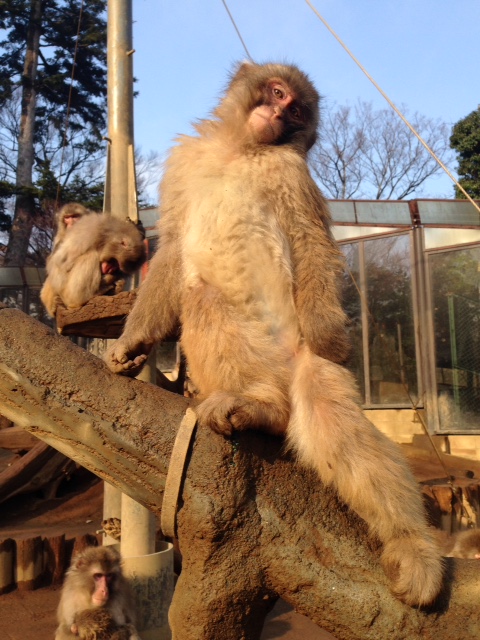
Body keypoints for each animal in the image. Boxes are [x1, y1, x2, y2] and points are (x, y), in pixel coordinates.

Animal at [103, 60, 444, 604]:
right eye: (279, 93)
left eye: (298, 111)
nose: (279, 114)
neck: (241, 150)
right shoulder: (183, 165)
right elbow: (173, 248)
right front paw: (132, 343)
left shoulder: (290, 171)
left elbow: (309, 239)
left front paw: (333, 337)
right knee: (203, 295)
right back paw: (261, 406)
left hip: (305, 364)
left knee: (338, 429)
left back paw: (411, 544)